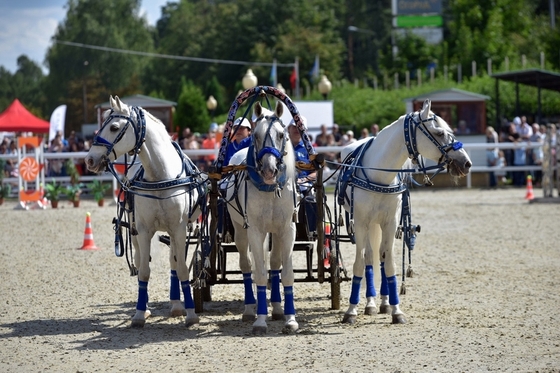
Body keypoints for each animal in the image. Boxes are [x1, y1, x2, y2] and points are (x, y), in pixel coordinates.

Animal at [86, 95, 209, 326]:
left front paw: (190, 313)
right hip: (134, 232)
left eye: (114, 127)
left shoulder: (179, 229)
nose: (90, 159)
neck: (160, 176)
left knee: (173, 262)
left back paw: (177, 305)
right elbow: (144, 271)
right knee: (140, 260)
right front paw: (139, 314)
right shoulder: (143, 230)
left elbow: (181, 269)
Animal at [225, 100, 300, 332]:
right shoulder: (256, 231)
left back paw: (276, 308)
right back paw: (251, 309)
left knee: (274, 264)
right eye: (255, 135)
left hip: (274, 232)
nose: (269, 170)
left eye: (281, 134)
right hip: (240, 229)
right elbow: (258, 272)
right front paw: (260, 319)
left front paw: (291, 319)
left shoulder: (287, 229)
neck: (269, 189)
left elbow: (286, 273)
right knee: (246, 265)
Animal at [336, 99, 472, 322]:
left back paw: (382, 302)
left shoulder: (390, 223)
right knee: (369, 258)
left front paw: (396, 310)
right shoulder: (362, 223)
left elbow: (389, 264)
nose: (466, 163)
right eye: (439, 133)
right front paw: (351, 310)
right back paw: (370, 302)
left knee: (380, 258)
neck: (379, 175)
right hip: (368, 225)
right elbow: (360, 263)